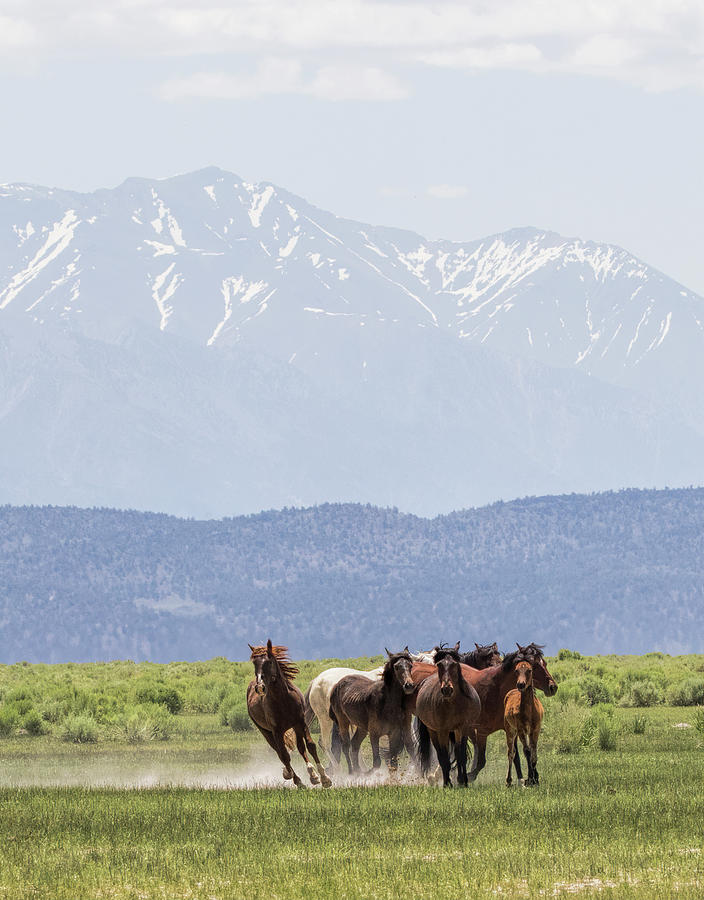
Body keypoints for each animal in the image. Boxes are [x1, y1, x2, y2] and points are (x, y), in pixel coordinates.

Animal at [246, 640, 332, 788]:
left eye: (269, 661)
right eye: (254, 663)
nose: (260, 687)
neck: (283, 700)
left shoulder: (301, 722)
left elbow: (310, 746)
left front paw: (324, 778)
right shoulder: (276, 731)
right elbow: (285, 755)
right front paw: (297, 780)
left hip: (295, 727)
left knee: (300, 748)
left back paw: (312, 775)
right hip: (266, 732)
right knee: (280, 753)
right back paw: (291, 774)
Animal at [416, 640, 482, 788]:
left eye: (454, 664)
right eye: (439, 664)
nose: (447, 689)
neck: (452, 704)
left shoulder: (463, 728)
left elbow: (461, 755)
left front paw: (463, 781)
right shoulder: (442, 731)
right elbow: (444, 756)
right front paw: (448, 783)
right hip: (433, 731)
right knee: (441, 754)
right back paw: (446, 781)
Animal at [500, 656, 544, 784]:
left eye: (529, 670)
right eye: (516, 670)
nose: (520, 684)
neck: (530, 711)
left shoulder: (535, 729)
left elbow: (534, 751)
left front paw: (536, 778)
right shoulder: (521, 730)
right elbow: (527, 751)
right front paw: (530, 778)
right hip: (510, 730)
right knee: (511, 752)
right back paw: (508, 780)